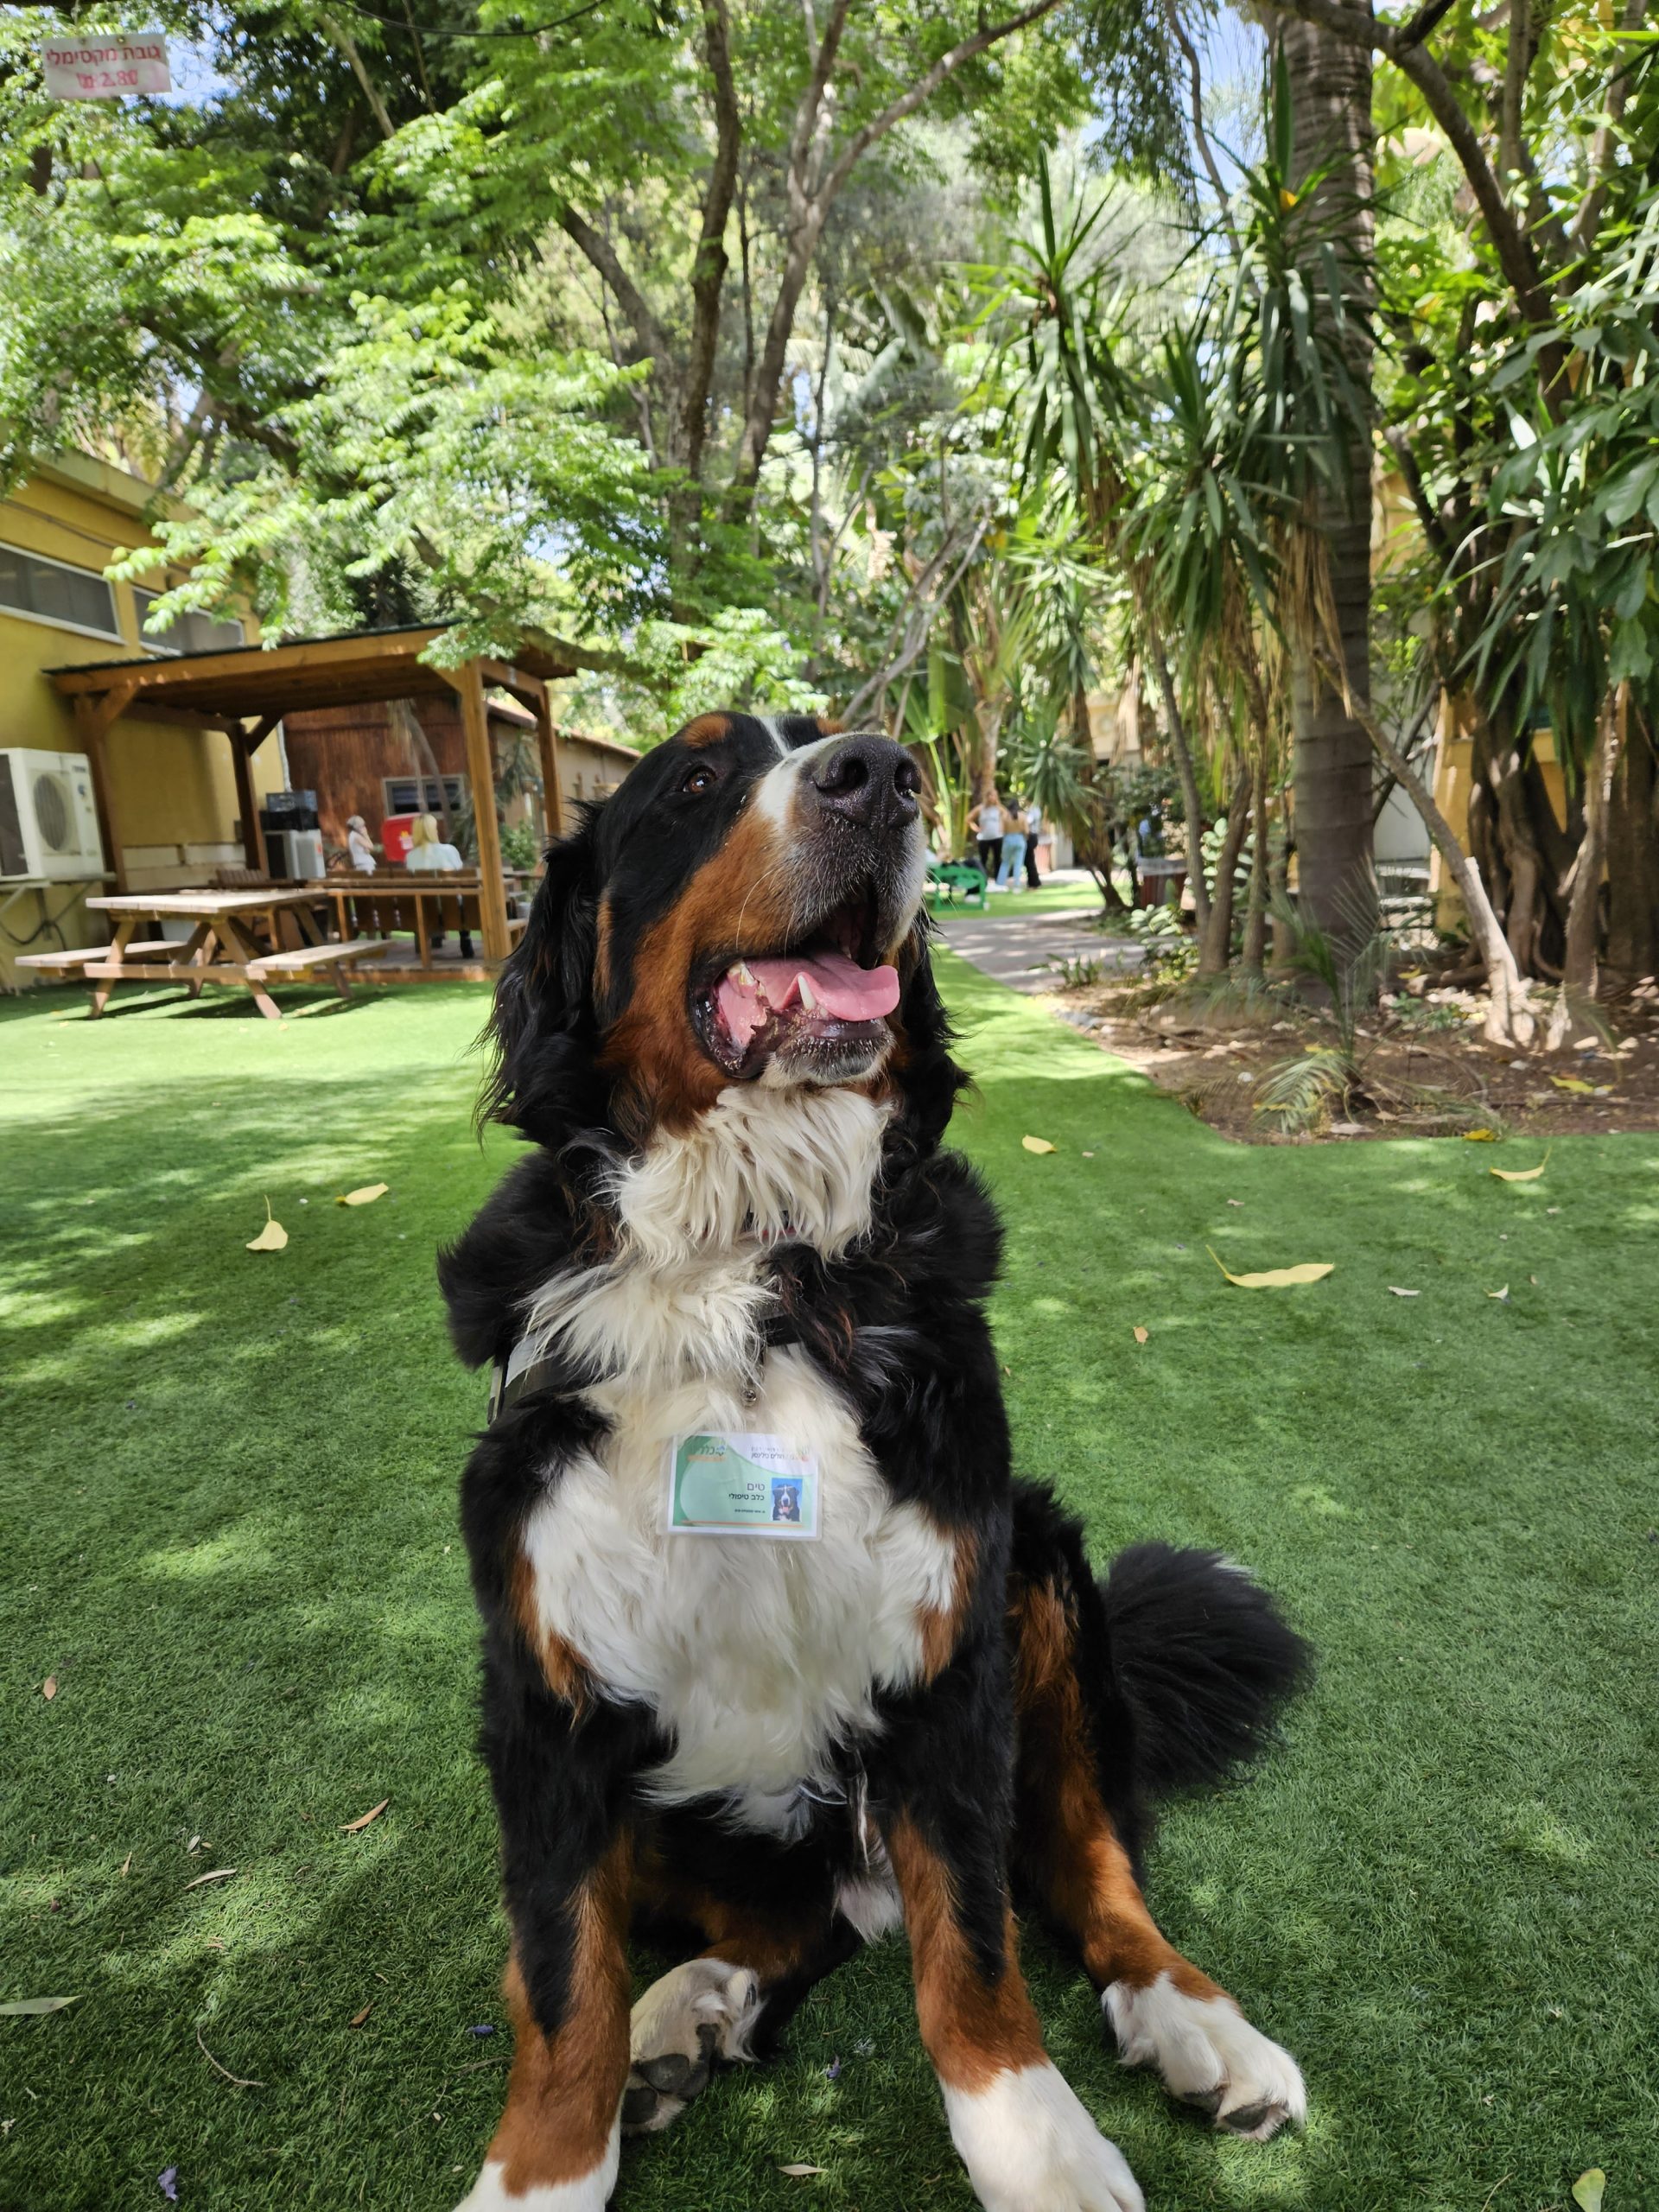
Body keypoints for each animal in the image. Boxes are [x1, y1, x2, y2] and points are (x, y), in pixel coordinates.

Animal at [437, 712, 1309, 2212]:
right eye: (696, 780)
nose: (882, 775)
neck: (756, 1266)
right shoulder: (546, 1694)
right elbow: (559, 1984)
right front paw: (544, 2169)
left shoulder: (949, 1654)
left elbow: (977, 1945)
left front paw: (1036, 2145)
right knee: (790, 1925)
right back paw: (687, 2012)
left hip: (1044, 1580)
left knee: (1083, 1869)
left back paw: (1197, 2021)